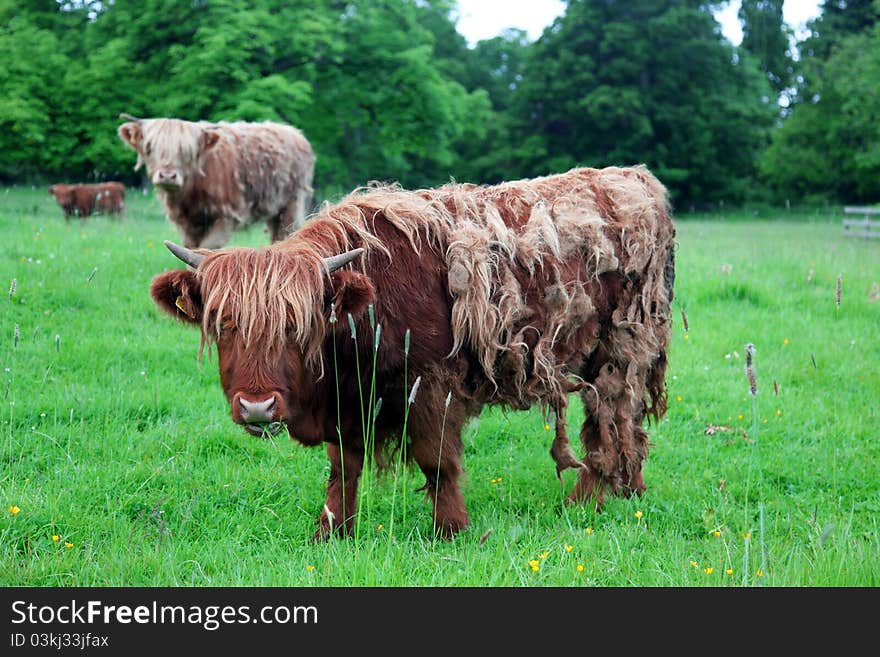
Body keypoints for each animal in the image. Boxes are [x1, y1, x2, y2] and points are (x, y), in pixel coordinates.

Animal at [117, 113, 316, 249]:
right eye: (150, 148)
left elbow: (206, 249)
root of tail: (294, 132)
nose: (167, 176)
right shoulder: (187, 223)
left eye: (187, 151)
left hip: (292, 204)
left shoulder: (227, 215)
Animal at [150, 167, 672, 540]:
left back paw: (585, 502)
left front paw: (451, 530)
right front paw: (332, 531)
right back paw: (626, 491)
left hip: (619, 353)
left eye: (299, 326)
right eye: (223, 324)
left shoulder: (431, 386)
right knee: (627, 427)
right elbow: (343, 468)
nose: (257, 407)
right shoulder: (348, 400)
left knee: (609, 423)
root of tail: (635, 179)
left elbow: (437, 460)